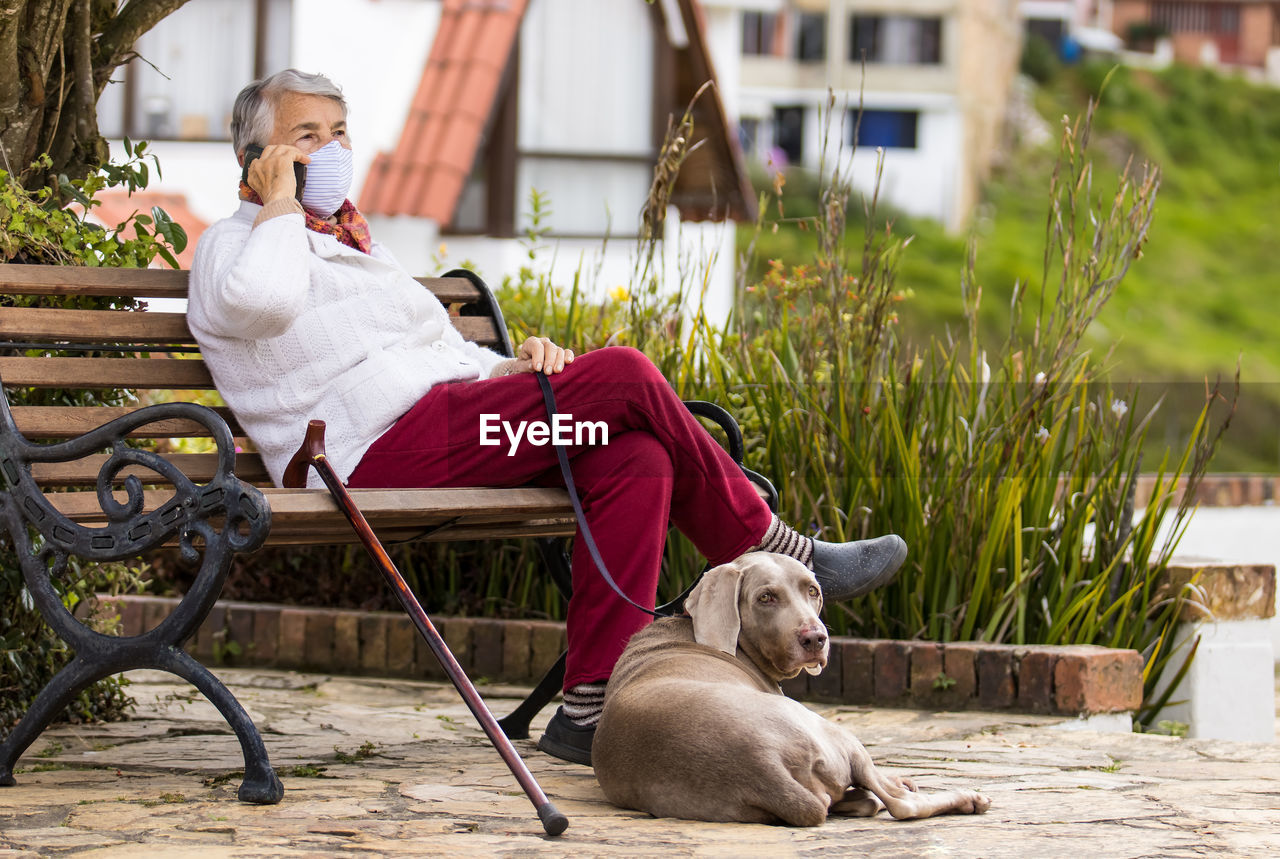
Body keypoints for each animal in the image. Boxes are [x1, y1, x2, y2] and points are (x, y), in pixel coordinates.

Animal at [593, 550, 993, 824]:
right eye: (765, 597)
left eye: (812, 591)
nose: (815, 639)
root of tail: (763, 767)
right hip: (833, 733)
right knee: (899, 804)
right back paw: (964, 797)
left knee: (861, 799)